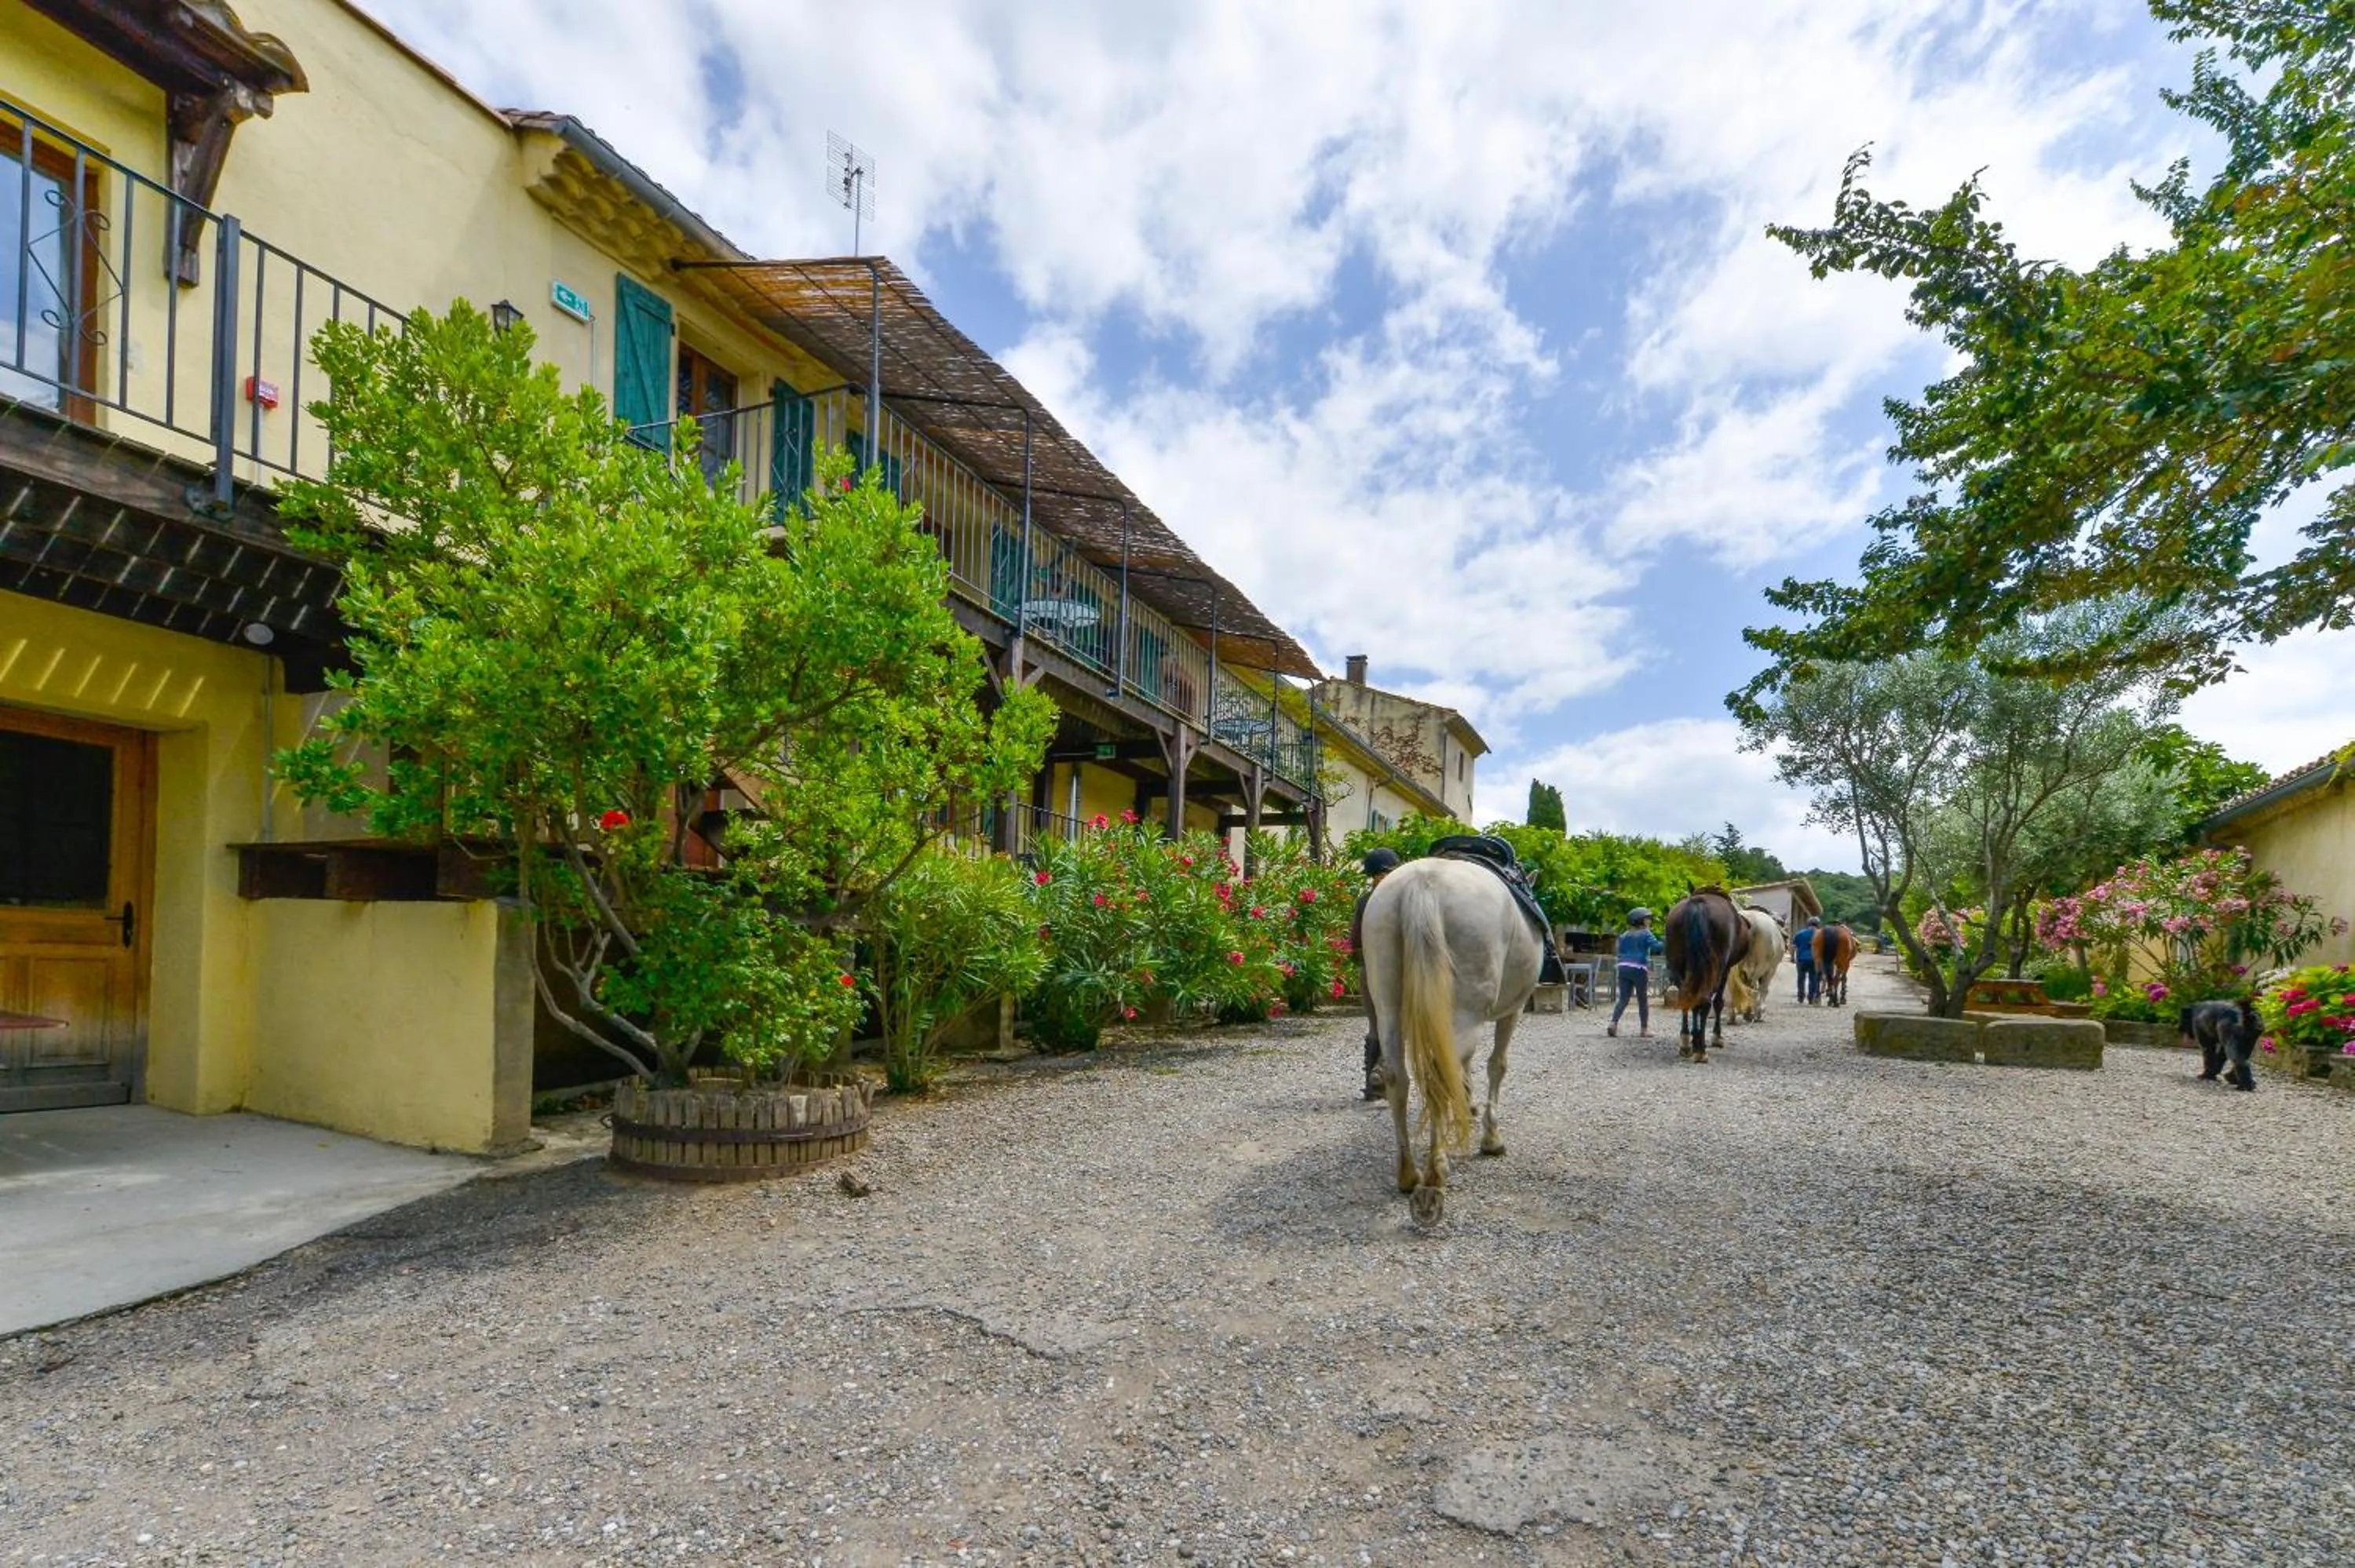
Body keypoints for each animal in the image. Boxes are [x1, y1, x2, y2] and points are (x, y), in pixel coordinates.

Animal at [1361, 857, 1545, 1226]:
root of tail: (1423, 882)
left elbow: (1463, 1067)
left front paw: (1468, 1103)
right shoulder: (1513, 1011)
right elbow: (1496, 1066)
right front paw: (1491, 1138)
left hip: (1389, 1007)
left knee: (1398, 1078)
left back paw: (1408, 1175)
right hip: (1467, 1012)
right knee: (1436, 1078)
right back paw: (1435, 1173)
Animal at [1663, 888, 1750, 1061]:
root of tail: (1698, 904)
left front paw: (1693, 1038)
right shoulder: (1726, 969)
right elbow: (1718, 1002)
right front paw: (1715, 1037)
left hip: (1679, 966)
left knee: (1687, 998)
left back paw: (1686, 1043)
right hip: (1715, 969)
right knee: (1705, 1001)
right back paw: (1701, 1051)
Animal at [1725, 906, 1785, 1024]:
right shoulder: (1771, 969)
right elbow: (1764, 989)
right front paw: (1759, 1011)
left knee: (1732, 989)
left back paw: (1732, 1015)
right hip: (1761, 965)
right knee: (1753, 989)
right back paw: (1753, 1013)